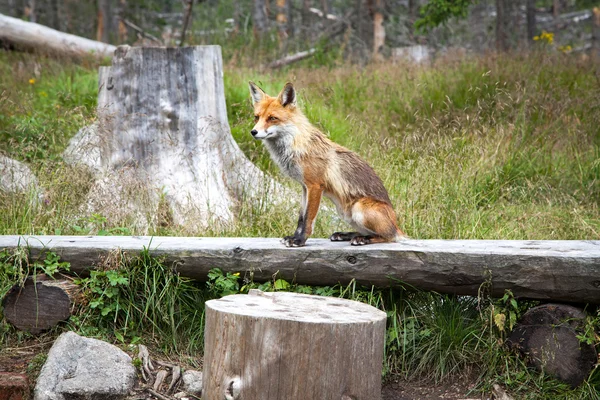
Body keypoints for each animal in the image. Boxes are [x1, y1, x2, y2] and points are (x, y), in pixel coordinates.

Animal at [248, 81, 408, 247]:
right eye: (256, 117)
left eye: (272, 118)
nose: (253, 132)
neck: (298, 145)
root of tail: (398, 227)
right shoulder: (304, 187)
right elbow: (301, 218)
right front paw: (294, 237)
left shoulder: (315, 186)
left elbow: (308, 219)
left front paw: (300, 240)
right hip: (345, 213)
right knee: (368, 232)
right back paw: (347, 235)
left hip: (359, 208)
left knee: (388, 236)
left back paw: (364, 239)